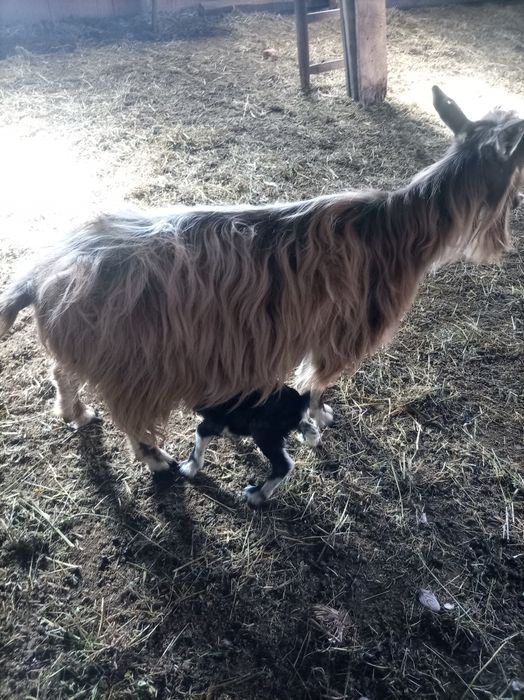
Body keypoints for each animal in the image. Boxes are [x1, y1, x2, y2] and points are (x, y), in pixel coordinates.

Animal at [1, 86, 523, 480]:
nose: (516, 207)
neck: (398, 228)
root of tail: (41, 274)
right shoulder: (341, 332)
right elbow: (317, 382)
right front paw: (319, 420)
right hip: (132, 361)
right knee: (127, 413)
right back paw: (156, 457)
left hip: (91, 344)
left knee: (63, 371)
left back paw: (75, 413)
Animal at [180, 386, 320, 505]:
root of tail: (299, 401)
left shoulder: (215, 422)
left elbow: (199, 436)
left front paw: (189, 468)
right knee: (310, 429)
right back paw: (310, 439)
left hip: (263, 432)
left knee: (283, 465)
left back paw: (256, 495)